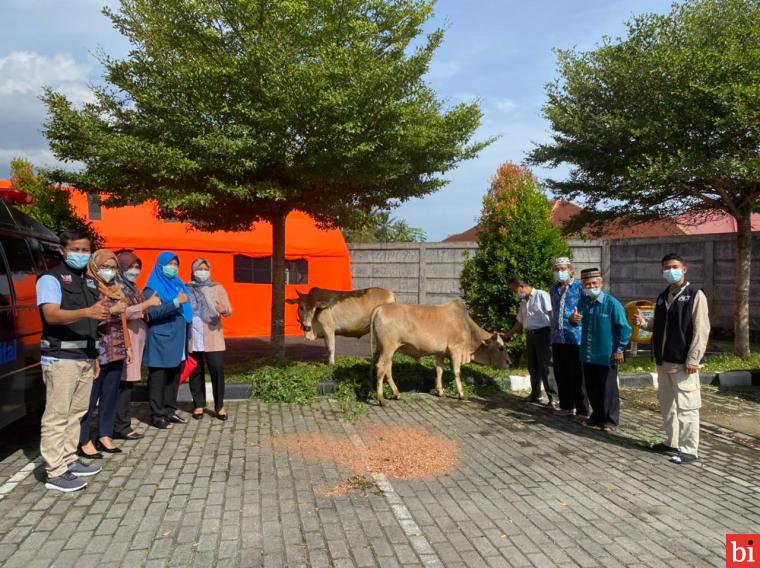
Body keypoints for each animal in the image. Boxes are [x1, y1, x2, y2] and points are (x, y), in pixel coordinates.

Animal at [370, 300, 510, 406]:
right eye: (501, 347)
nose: (510, 362)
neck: (467, 327)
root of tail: (380, 308)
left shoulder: (440, 353)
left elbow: (439, 370)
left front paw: (440, 391)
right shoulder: (456, 349)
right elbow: (457, 372)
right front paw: (461, 394)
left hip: (385, 350)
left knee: (387, 368)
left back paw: (397, 394)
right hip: (388, 348)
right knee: (381, 367)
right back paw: (381, 399)